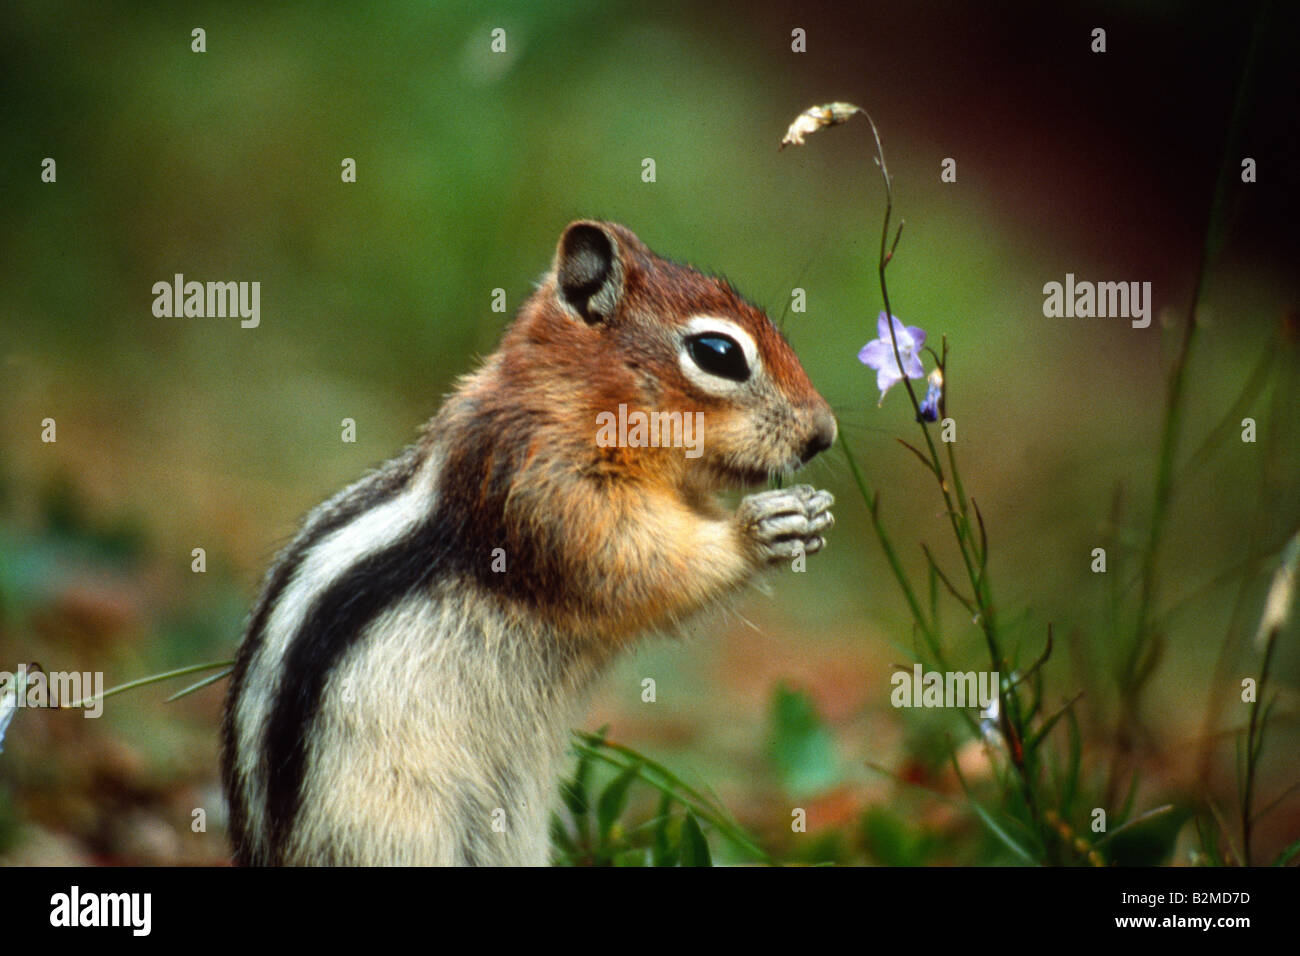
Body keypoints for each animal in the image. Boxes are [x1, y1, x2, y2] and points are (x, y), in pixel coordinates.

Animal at [220, 222, 832, 868]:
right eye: (718, 353)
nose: (825, 434)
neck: (568, 403)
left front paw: (810, 512)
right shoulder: (543, 491)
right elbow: (636, 565)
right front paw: (759, 528)